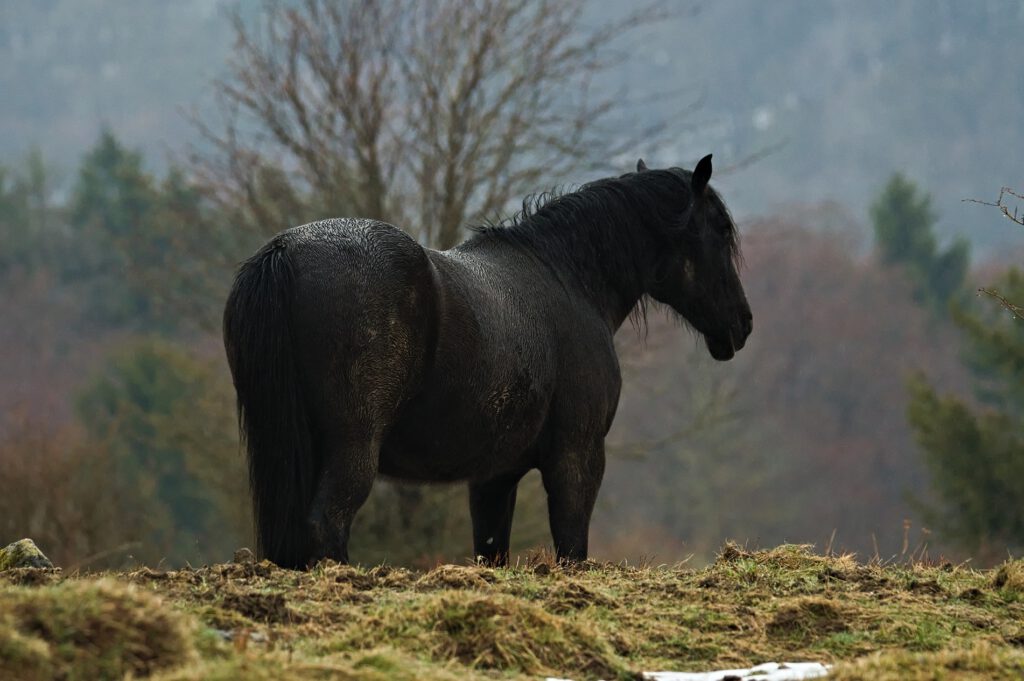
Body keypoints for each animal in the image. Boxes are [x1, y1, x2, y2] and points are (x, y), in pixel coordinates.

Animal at [224, 155, 753, 569]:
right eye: (720, 229)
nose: (742, 325)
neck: (568, 280)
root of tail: (284, 252)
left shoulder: (494, 476)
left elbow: (492, 549)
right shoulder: (577, 456)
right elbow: (571, 547)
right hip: (352, 447)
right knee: (327, 523)